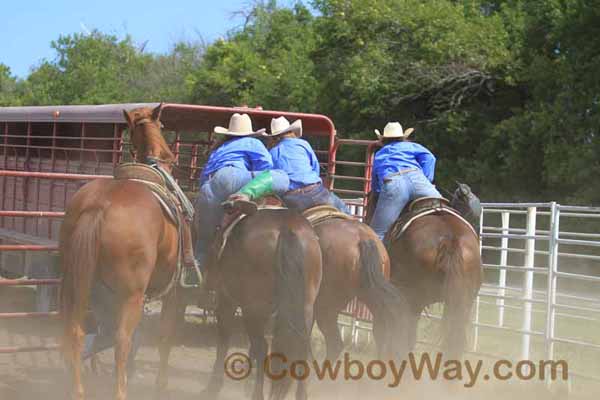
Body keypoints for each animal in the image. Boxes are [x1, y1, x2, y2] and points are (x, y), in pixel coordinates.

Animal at [60, 104, 184, 398]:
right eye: (163, 125)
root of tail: (99, 205)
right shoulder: (173, 289)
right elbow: (165, 334)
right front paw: (160, 384)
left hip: (76, 284)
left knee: (76, 332)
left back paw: (77, 389)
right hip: (131, 296)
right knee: (121, 341)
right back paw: (120, 391)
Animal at [200, 209, 324, 400]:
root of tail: (287, 227)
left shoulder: (227, 300)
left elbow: (224, 339)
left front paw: (213, 387)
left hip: (252, 309)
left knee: (262, 347)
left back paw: (257, 393)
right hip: (305, 308)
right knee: (301, 346)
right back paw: (300, 394)